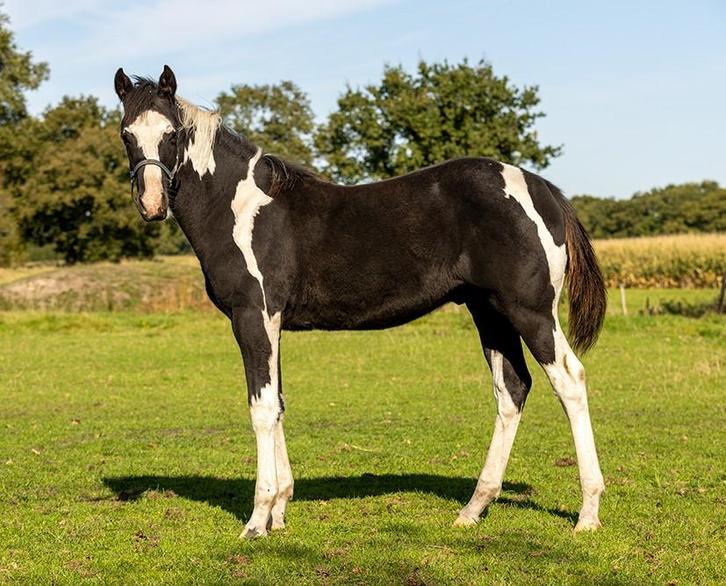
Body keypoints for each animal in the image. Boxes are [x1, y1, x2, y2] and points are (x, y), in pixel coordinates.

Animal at [114, 65, 607, 538]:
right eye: (126, 134)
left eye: (172, 134)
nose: (152, 204)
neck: (240, 208)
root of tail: (545, 191)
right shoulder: (272, 324)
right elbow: (279, 404)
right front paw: (280, 514)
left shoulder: (253, 316)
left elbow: (262, 409)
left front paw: (257, 520)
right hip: (489, 312)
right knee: (512, 390)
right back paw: (473, 509)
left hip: (531, 312)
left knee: (569, 380)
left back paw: (587, 513)